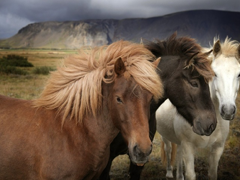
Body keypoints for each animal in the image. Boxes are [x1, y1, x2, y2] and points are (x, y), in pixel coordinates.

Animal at [156, 37, 240, 180]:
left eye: (239, 75)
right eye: (215, 74)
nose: (228, 110)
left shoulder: (217, 149)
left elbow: (212, 174)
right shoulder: (188, 147)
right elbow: (190, 174)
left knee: (178, 153)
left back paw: (179, 176)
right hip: (165, 136)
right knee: (168, 149)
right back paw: (169, 173)